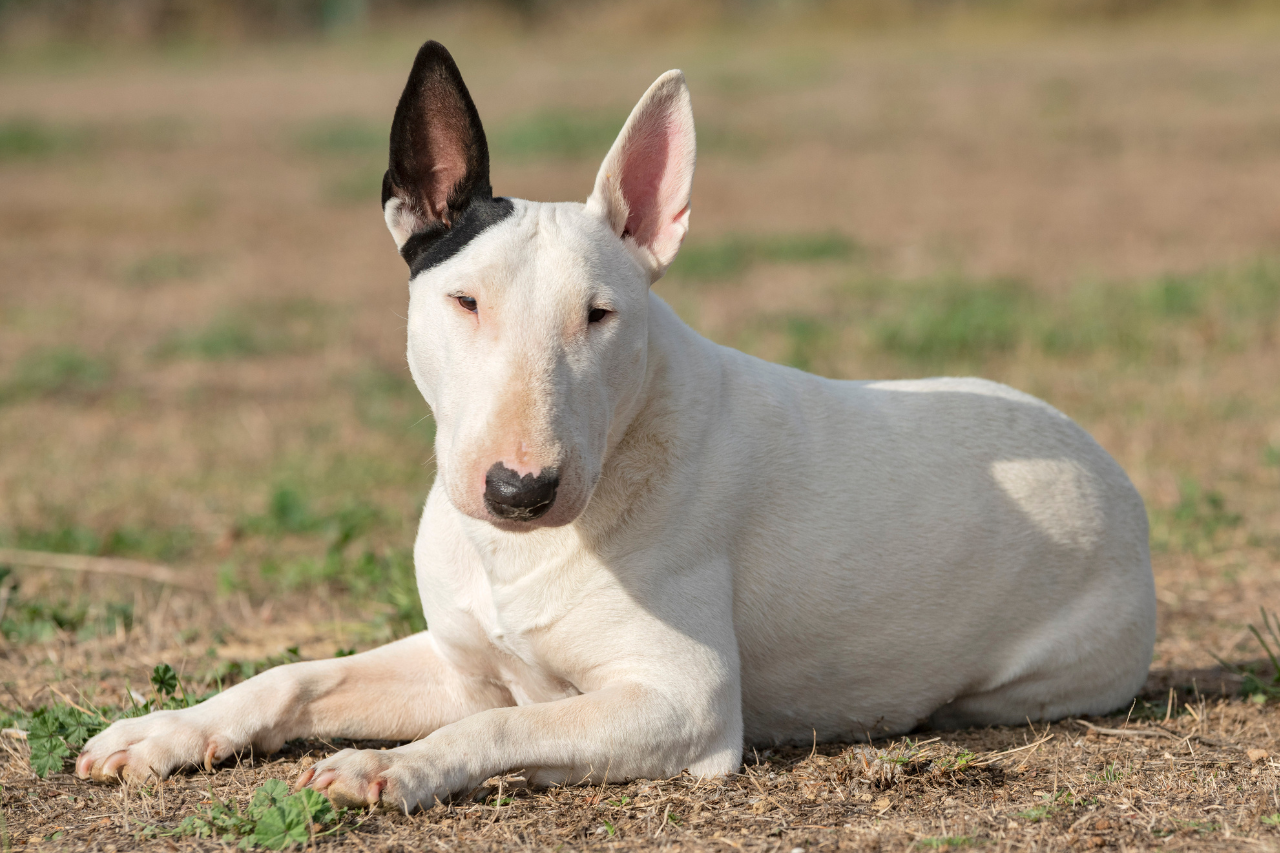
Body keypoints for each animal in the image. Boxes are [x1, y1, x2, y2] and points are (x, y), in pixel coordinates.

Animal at [74, 39, 1157, 809]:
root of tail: (1104, 464)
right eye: (463, 301)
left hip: (1037, 673)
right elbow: (297, 675)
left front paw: (397, 768)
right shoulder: (462, 663)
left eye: (600, 315)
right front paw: (164, 731)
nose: (519, 490)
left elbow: (503, 730)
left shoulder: (682, 698)